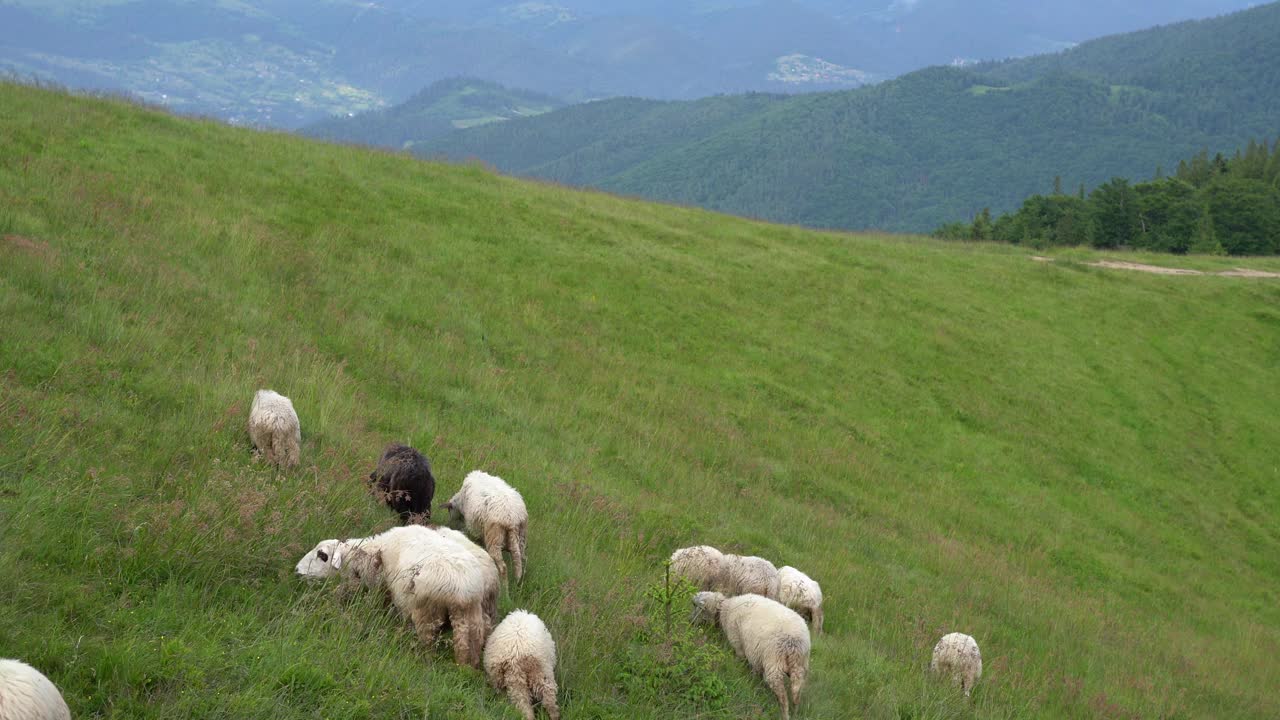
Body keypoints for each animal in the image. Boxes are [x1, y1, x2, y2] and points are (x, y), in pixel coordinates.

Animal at [696, 589, 803, 717]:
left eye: (698, 607)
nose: (691, 622)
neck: (725, 608)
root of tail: (794, 641)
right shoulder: (756, 653)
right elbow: (756, 670)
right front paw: (754, 681)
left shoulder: (737, 641)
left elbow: (740, 659)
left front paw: (738, 669)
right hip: (798, 665)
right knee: (796, 691)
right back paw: (795, 712)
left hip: (774, 661)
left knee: (782, 695)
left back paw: (785, 714)